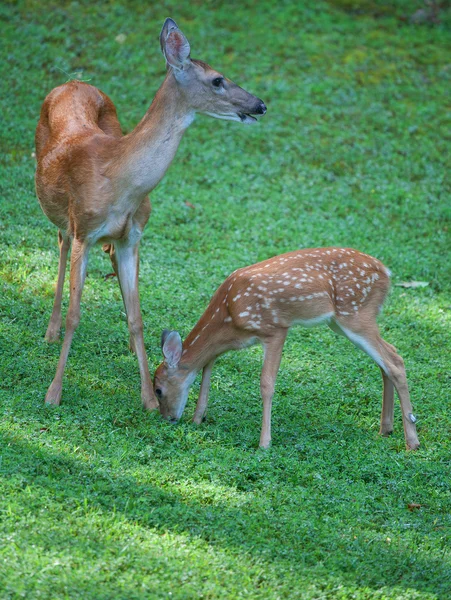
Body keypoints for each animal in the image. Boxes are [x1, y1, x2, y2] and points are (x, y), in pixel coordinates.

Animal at [36, 16, 268, 408]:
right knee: (60, 242)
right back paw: (49, 331)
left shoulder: (132, 236)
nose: (260, 105)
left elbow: (137, 318)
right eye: (217, 79)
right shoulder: (85, 228)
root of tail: (73, 81)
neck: (120, 181)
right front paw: (54, 392)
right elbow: (75, 315)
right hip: (62, 214)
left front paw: (147, 396)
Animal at [154, 245, 422, 450]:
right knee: (388, 357)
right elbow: (207, 369)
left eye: (158, 389)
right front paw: (198, 418)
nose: (168, 418)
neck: (228, 314)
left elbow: (266, 384)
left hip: (355, 313)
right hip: (342, 321)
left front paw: (264, 443)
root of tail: (386, 272)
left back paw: (412, 441)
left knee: (395, 361)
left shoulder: (275, 329)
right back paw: (385, 429)